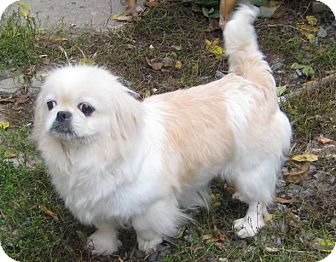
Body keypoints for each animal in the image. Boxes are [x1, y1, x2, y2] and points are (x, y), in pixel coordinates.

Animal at [33, 5, 292, 256]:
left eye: (86, 108)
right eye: (50, 105)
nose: (62, 114)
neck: (89, 153)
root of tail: (250, 81)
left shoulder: (152, 204)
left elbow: (144, 227)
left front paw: (148, 244)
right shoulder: (100, 204)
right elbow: (105, 226)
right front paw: (102, 245)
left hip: (251, 169)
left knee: (259, 199)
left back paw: (248, 224)